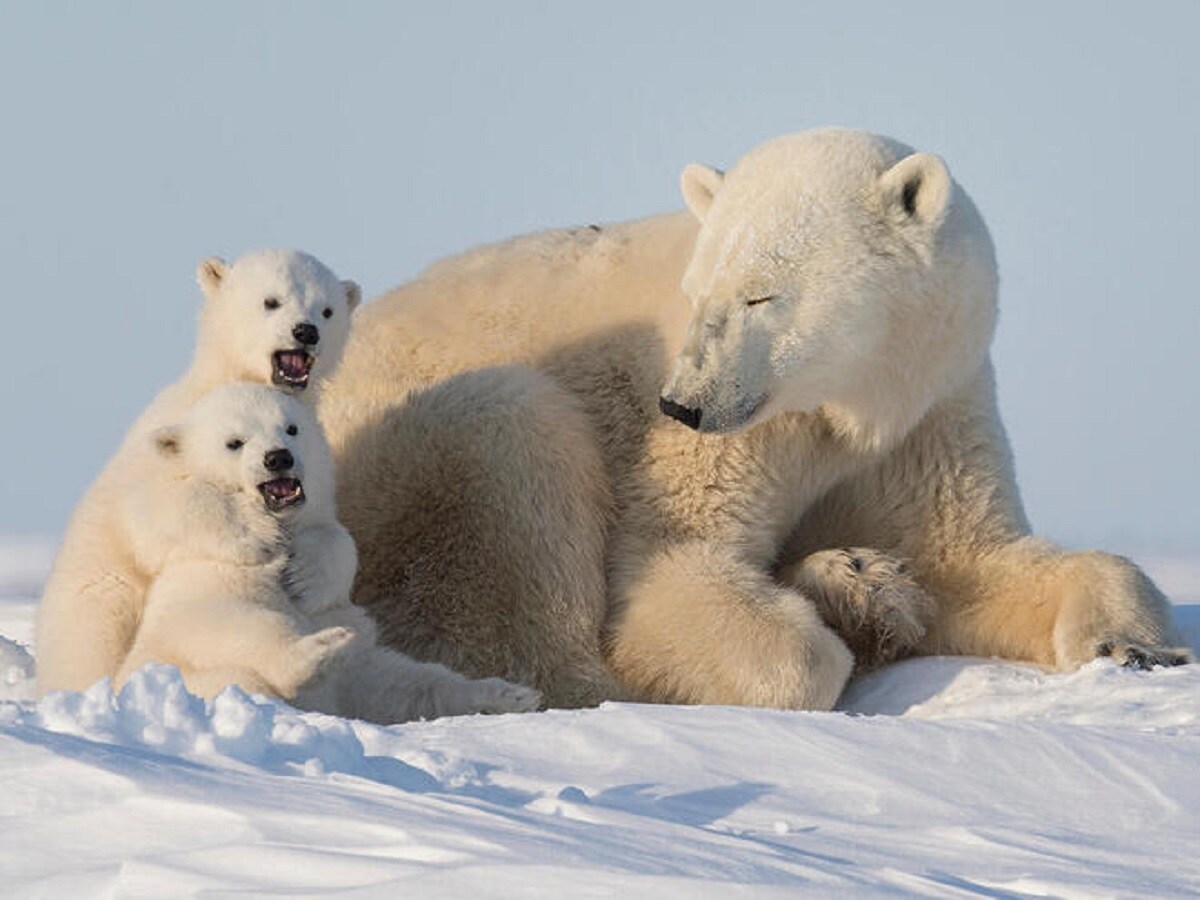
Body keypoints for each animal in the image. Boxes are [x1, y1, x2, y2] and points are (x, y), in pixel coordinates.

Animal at [321, 127, 1190, 710]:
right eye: (698, 290)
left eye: (761, 295)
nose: (681, 402)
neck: (847, 401)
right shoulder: (725, 441)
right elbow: (670, 578)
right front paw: (834, 629)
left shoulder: (931, 407)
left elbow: (971, 557)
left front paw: (1132, 644)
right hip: (389, 471)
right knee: (510, 448)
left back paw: (860, 580)